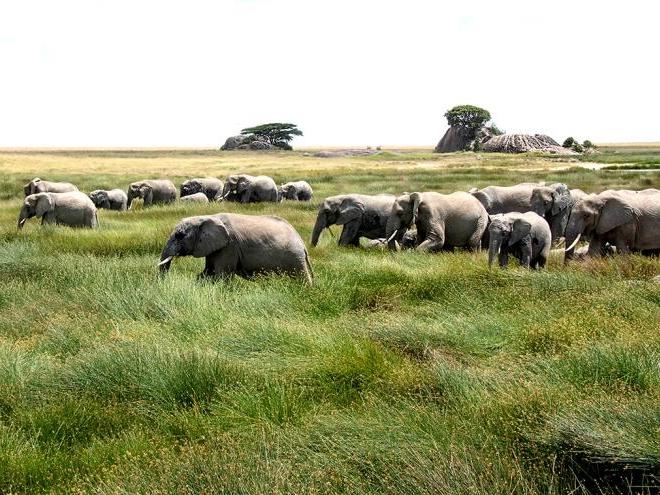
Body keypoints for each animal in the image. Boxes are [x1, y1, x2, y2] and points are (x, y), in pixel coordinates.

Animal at [158, 213, 313, 284]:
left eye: (179, 235)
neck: (208, 217)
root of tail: (303, 244)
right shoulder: (214, 246)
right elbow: (207, 272)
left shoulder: (229, 246)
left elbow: (221, 274)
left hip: (294, 256)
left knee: (301, 277)